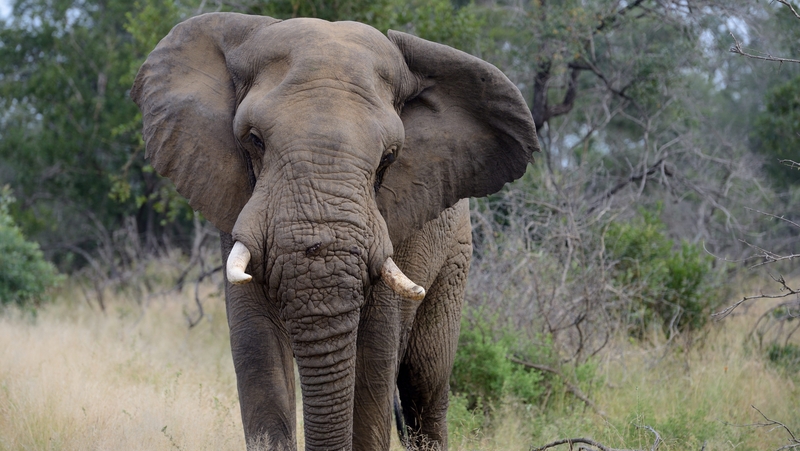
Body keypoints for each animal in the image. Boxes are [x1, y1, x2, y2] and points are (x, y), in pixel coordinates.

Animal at [131, 12, 538, 451]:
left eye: (389, 157)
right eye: (254, 140)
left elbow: (373, 361)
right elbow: (259, 352)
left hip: (457, 252)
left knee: (425, 384)